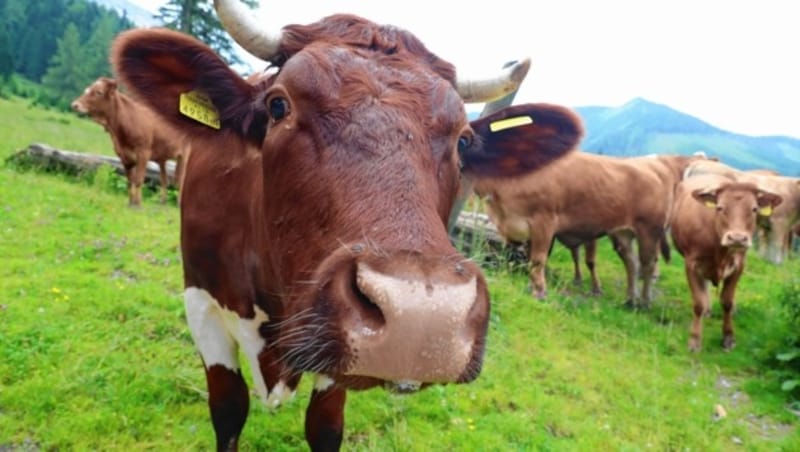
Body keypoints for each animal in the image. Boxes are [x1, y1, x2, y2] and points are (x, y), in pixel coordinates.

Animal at [69, 76, 188, 207]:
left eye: (99, 92)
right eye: (87, 89)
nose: (75, 105)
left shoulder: (143, 153)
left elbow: (138, 180)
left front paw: (138, 205)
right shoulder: (124, 156)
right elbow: (130, 181)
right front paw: (131, 204)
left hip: (184, 156)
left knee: (180, 182)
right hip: (162, 157)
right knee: (164, 180)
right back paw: (162, 204)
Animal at [108, 1, 580, 450]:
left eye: (464, 140)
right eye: (278, 105)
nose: (423, 317)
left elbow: (325, 425)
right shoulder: (201, 302)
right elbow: (228, 409)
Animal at [472, 152, 704, 308]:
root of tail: (652, 165)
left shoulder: (544, 221)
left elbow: (538, 260)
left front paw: (540, 292)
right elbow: (530, 260)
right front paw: (533, 287)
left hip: (648, 230)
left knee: (646, 264)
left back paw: (644, 301)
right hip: (622, 233)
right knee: (631, 262)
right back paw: (630, 298)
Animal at [668, 173, 780, 350]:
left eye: (754, 209)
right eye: (720, 208)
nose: (737, 238)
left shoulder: (739, 266)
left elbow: (727, 302)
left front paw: (728, 337)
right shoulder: (691, 264)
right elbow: (698, 303)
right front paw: (694, 339)